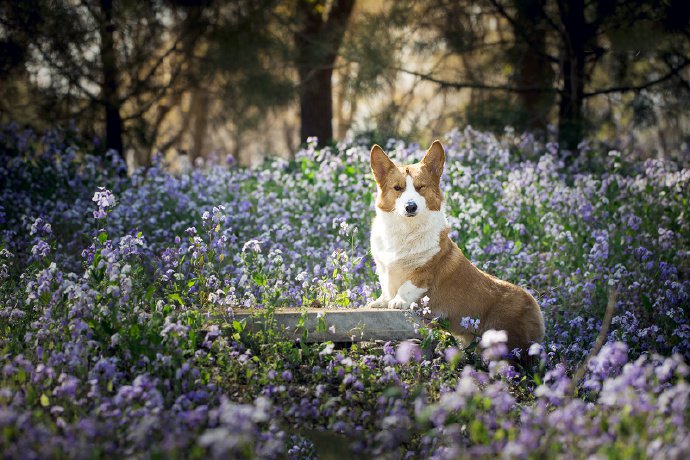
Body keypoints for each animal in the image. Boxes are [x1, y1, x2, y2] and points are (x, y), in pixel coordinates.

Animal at [366, 139, 544, 348]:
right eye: (397, 188)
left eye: (421, 187)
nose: (411, 207)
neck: (405, 230)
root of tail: (535, 305)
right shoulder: (383, 268)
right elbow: (386, 286)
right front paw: (381, 302)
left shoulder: (424, 272)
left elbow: (407, 286)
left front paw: (398, 301)